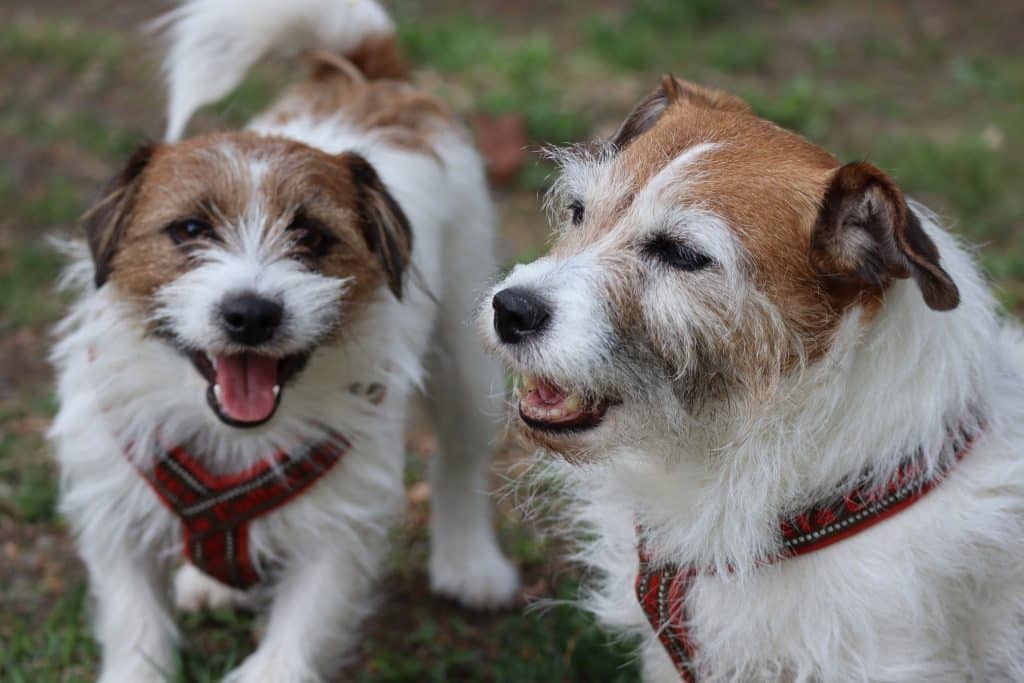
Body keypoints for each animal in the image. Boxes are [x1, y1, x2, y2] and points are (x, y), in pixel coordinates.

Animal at [48, 2, 520, 679]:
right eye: (189, 229)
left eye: (314, 237)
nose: (251, 314)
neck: (231, 437)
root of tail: (369, 77)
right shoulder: (116, 505)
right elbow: (133, 621)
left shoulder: (339, 524)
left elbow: (300, 632)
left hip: (465, 363)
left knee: (459, 459)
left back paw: (471, 564)